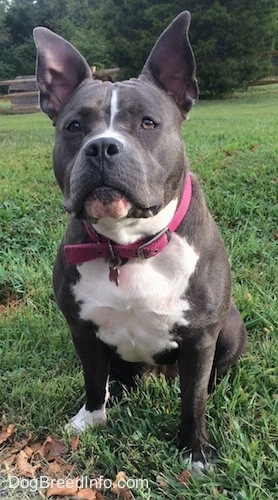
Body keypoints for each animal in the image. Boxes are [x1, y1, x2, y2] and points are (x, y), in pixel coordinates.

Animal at [33, 12, 247, 472]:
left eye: (148, 123)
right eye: (74, 127)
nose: (102, 147)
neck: (127, 246)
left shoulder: (199, 338)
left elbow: (193, 402)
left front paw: (195, 453)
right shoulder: (82, 329)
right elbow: (92, 378)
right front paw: (91, 419)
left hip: (230, 327)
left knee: (209, 378)